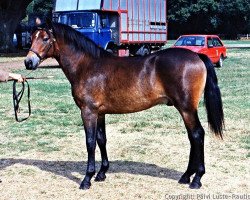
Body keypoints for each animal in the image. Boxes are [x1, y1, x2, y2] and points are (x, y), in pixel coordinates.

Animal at [24, 21, 224, 190]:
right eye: (32, 38)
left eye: (45, 38)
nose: (28, 62)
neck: (87, 66)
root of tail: (196, 55)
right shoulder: (100, 113)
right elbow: (101, 139)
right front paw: (102, 173)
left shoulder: (88, 112)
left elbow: (90, 142)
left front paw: (87, 179)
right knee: (192, 137)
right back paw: (186, 176)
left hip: (186, 109)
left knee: (197, 135)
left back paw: (196, 179)